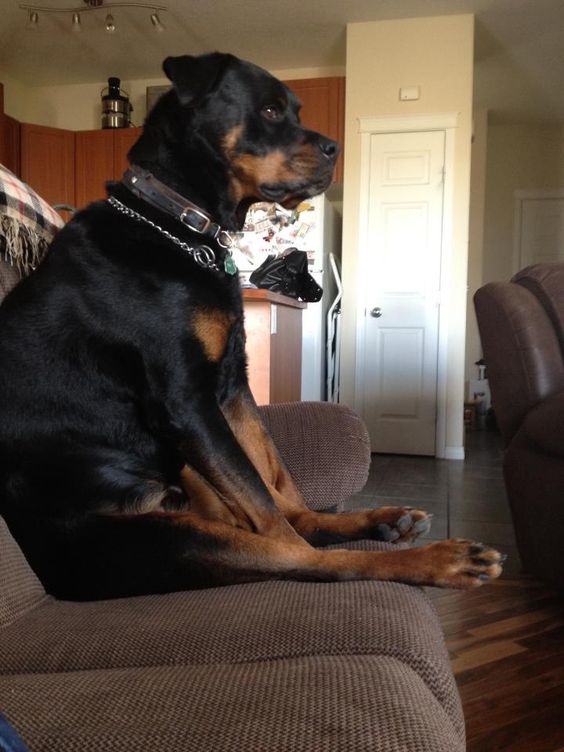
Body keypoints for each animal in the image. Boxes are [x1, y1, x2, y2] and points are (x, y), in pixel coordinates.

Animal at [0, 54, 502, 600]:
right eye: (269, 110)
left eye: (296, 109)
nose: (335, 149)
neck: (178, 225)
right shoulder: (187, 400)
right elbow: (267, 506)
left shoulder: (231, 387)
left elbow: (270, 477)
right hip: (160, 535)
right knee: (303, 556)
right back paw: (439, 560)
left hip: (190, 470)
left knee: (295, 516)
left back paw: (386, 521)